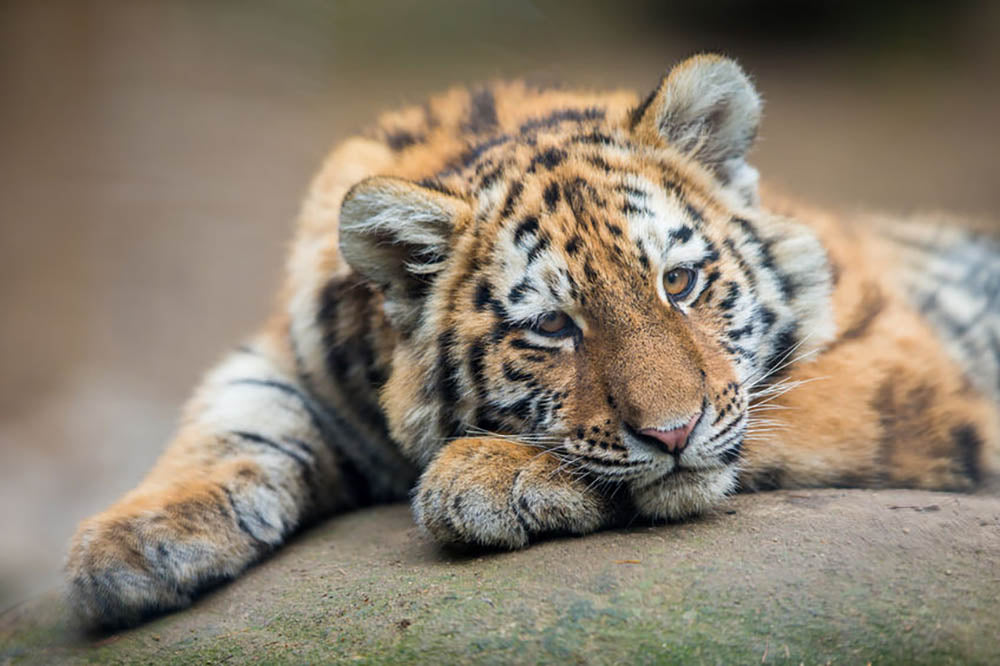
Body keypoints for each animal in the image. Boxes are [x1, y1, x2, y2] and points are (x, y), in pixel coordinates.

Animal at [65, 54, 1000, 629]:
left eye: (679, 283)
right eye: (552, 327)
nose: (674, 433)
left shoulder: (897, 363)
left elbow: (765, 417)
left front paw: (488, 476)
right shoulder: (294, 358)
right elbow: (235, 415)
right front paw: (130, 545)